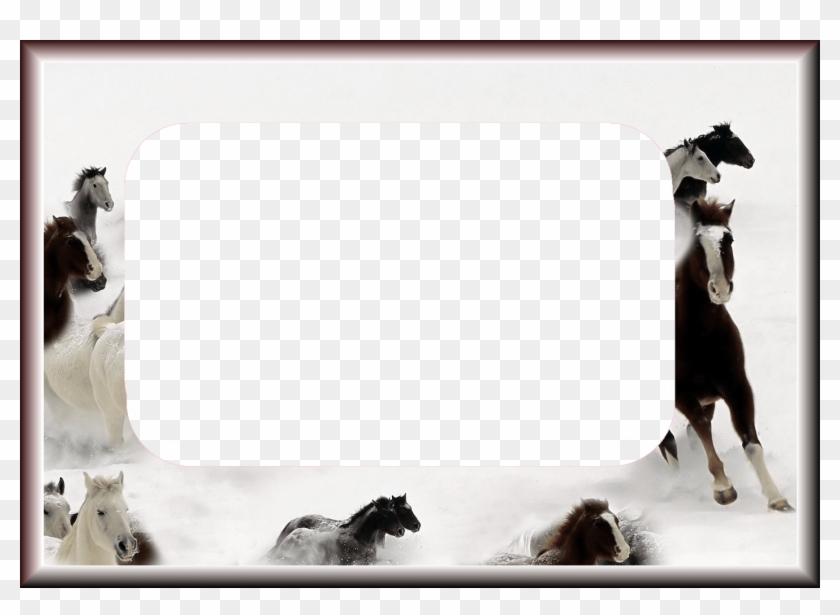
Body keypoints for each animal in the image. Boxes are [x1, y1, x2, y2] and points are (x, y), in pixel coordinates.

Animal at [658, 198, 793, 511]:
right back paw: (677, 481)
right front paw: (723, 487)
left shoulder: (736, 387)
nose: (720, 289)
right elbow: (702, 428)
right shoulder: (682, 393)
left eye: (728, 239)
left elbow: (751, 442)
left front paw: (776, 498)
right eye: (696, 244)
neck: (701, 337)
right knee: (666, 442)